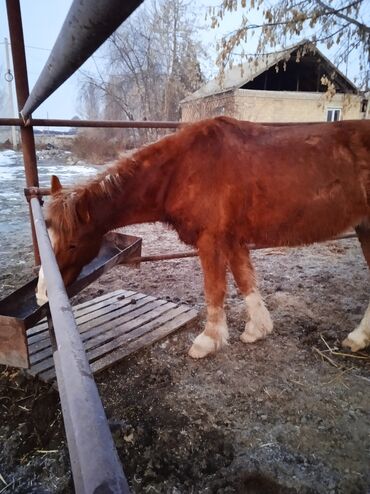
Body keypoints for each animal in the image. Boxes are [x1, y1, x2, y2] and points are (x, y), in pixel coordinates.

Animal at [36, 117, 370, 356]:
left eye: (73, 243)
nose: (43, 294)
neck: (181, 169)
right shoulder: (232, 239)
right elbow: (245, 280)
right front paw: (257, 329)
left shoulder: (211, 240)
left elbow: (214, 289)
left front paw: (208, 341)